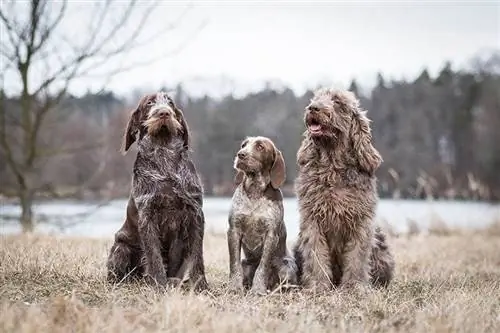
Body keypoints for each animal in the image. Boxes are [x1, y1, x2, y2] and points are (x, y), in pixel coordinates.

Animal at [105, 91, 207, 290]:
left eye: (170, 103)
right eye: (149, 103)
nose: (164, 113)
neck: (164, 154)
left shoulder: (195, 214)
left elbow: (197, 255)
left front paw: (201, 285)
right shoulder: (148, 216)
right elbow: (153, 255)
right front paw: (158, 284)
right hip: (121, 246)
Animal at [229, 136, 298, 294]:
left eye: (260, 147)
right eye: (243, 145)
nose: (240, 154)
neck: (255, 190)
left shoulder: (271, 235)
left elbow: (263, 267)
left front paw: (258, 289)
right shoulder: (234, 230)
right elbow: (234, 264)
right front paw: (235, 287)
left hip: (287, 264)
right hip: (246, 263)